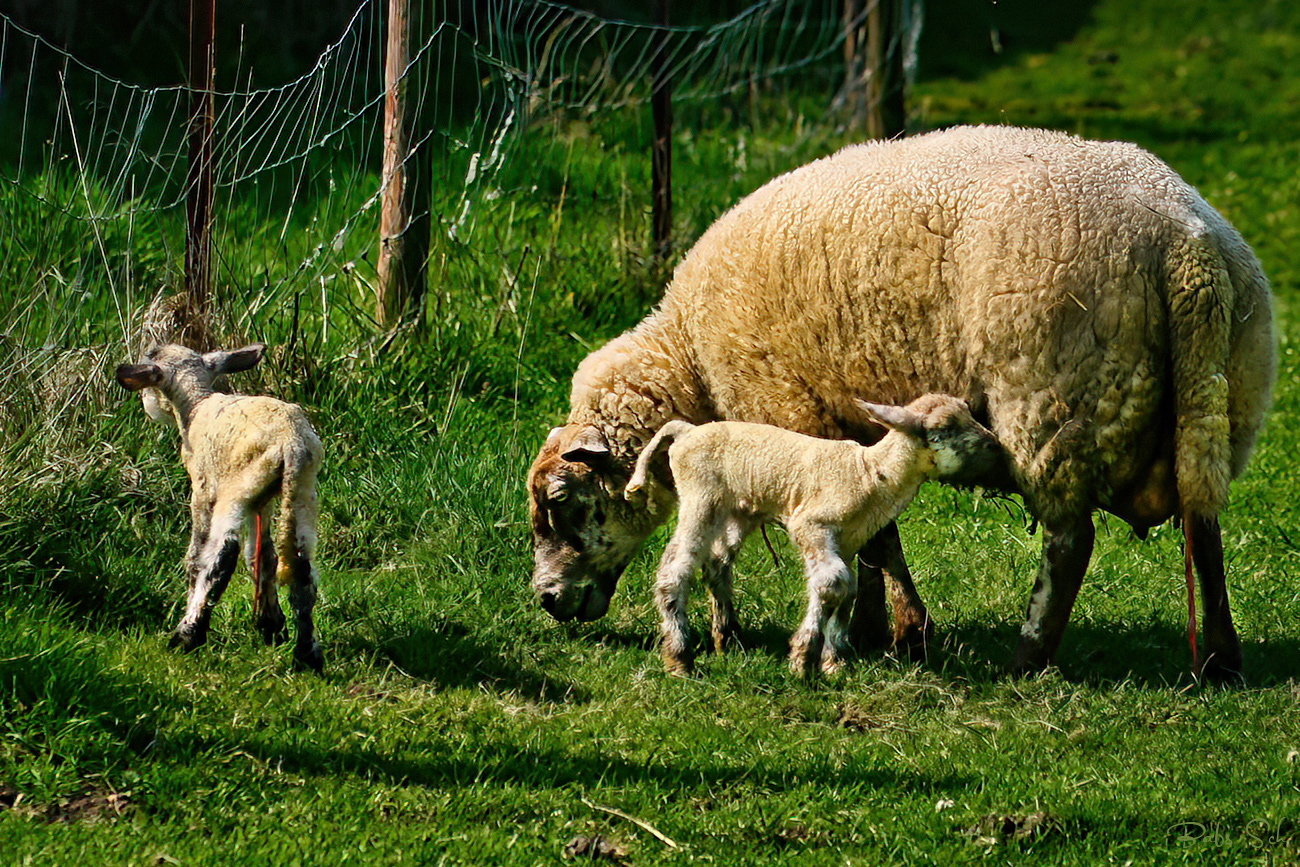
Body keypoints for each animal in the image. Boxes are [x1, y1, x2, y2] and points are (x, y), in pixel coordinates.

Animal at [115, 343, 323, 675]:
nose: (147, 405)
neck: (196, 405)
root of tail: (292, 444)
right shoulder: (262, 500)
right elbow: (262, 557)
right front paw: (270, 624)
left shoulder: (202, 488)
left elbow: (196, 556)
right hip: (300, 490)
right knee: (301, 566)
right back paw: (307, 654)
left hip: (235, 488)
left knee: (223, 554)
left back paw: (187, 635)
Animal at [624, 397, 998, 681]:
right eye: (943, 430)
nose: (995, 445)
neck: (870, 473)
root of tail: (687, 431)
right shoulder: (811, 524)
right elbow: (832, 584)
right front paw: (803, 659)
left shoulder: (848, 539)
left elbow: (847, 594)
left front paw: (834, 662)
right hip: (700, 497)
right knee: (675, 569)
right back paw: (680, 658)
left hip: (737, 511)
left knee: (717, 563)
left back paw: (726, 638)